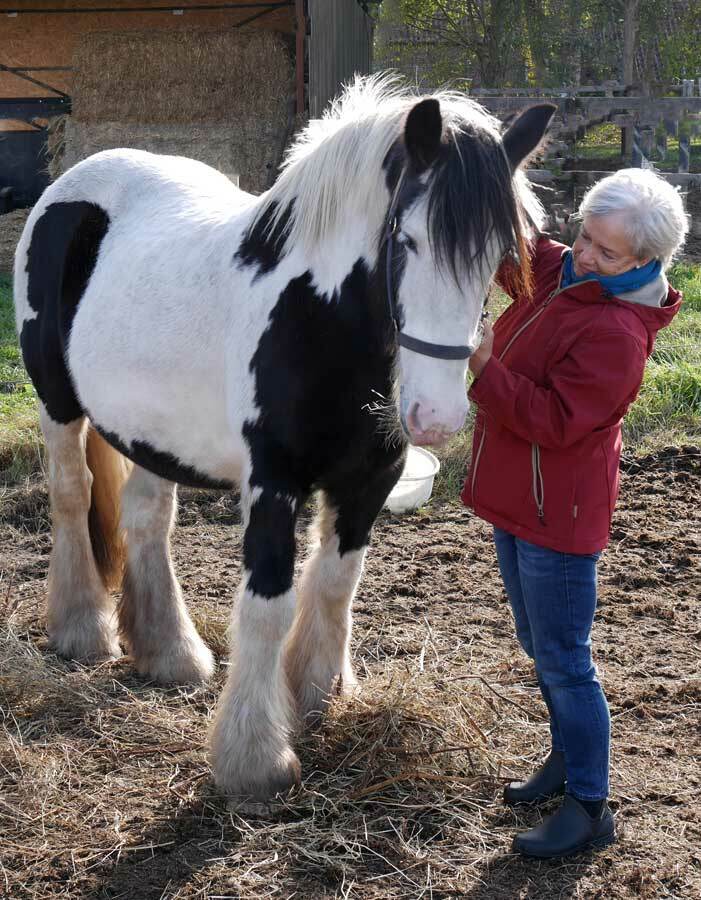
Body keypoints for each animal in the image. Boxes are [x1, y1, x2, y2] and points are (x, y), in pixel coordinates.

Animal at [13, 75, 556, 796]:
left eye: (500, 254)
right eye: (407, 238)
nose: (434, 417)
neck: (316, 318)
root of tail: (72, 182)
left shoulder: (367, 483)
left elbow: (333, 583)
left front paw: (316, 694)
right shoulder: (273, 483)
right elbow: (268, 604)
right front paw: (254, 759)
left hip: (150, 431)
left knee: (145, 521)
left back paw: (170, 653)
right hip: (56, 400)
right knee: (72, 495)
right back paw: (81, 629)